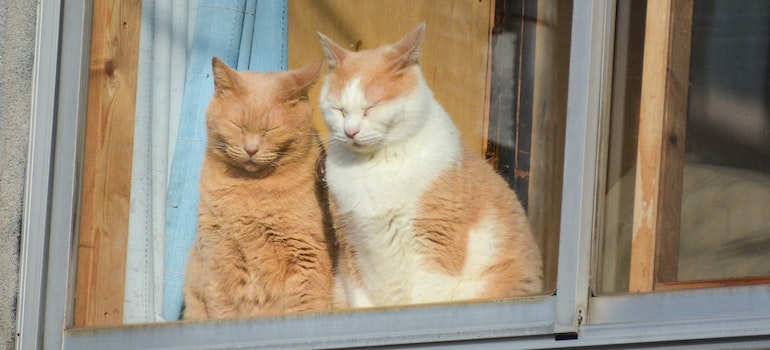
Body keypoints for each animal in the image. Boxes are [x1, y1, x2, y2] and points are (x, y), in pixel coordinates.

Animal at [184, 57, 336, 320]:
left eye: (270, 130)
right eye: (238, 126)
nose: (251, 149)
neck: (251, 190)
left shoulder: (307, 254)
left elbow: (306, 304)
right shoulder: (217, 254)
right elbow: (222, 307)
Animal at [316, 23, 540, 308]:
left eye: (371, 108)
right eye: (340, 110)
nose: (350, 131)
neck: (374, 165)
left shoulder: (435, 241)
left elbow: (424, 297)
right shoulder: (350, 245)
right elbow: (361, 298)